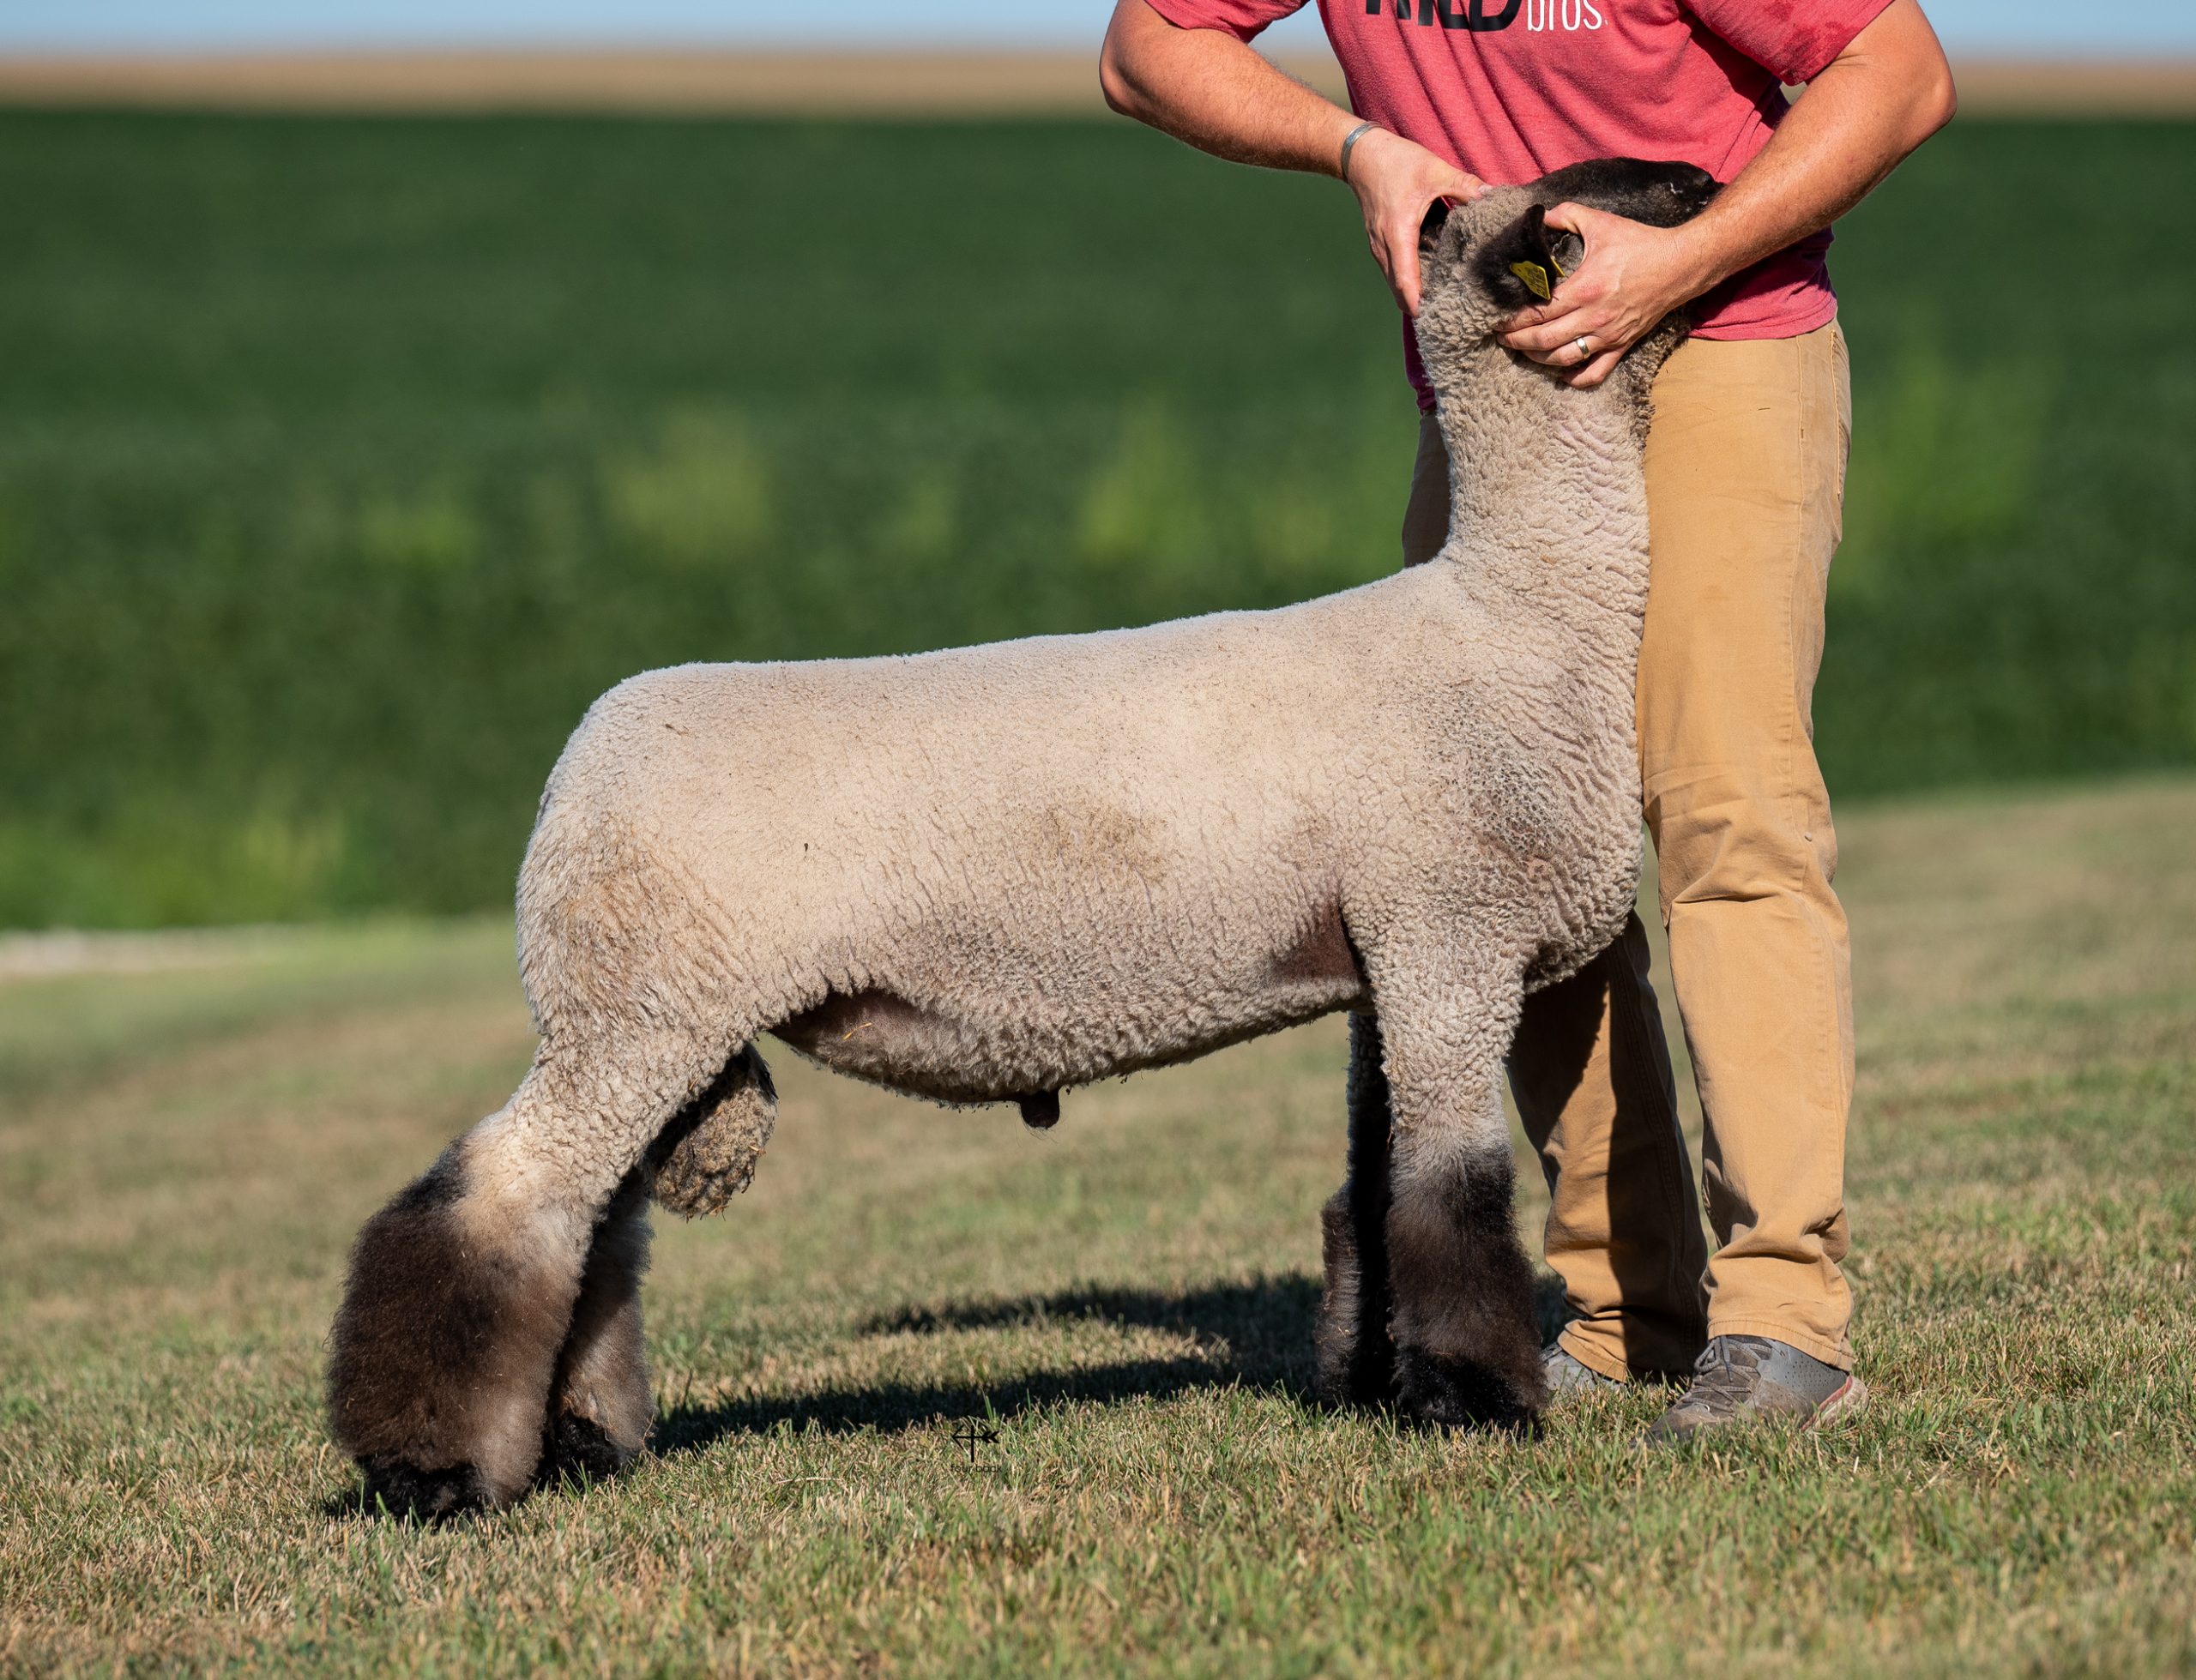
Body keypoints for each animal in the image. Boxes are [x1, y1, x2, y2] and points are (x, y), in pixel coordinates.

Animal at [326, 157, 1720, 1518]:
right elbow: (1450, 1191)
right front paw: (1478, 1404)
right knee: (499, 1203)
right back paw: (433, 1473)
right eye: (1603, 196)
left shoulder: (1388, 959)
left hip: (648, 1009)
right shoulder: (1449, 935)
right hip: (639, 1001)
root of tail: (584, 754)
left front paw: (1378, 1385)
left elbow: (1374, 1192)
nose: (1712, 185)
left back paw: (579, 1444)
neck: (1519, 612)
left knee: (596, 1230)